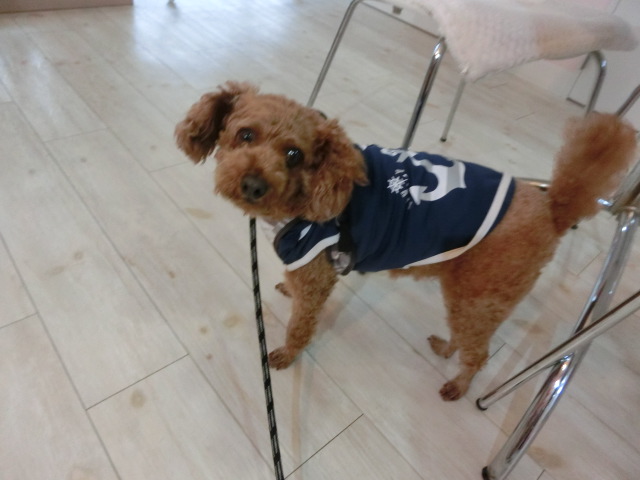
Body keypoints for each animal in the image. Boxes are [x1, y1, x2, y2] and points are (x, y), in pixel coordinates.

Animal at [175, 82, 636, 401]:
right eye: (245, 135)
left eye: (294, 155)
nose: (253, 185)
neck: (311, 191)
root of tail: (553, 208)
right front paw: (285, 290)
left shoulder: (316, 270)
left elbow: (301, 323)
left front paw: (286, 354)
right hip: (473, 293)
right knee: (469, 337)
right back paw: (446, 348)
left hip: (480, 292)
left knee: (479, 352)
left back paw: (458, 386)